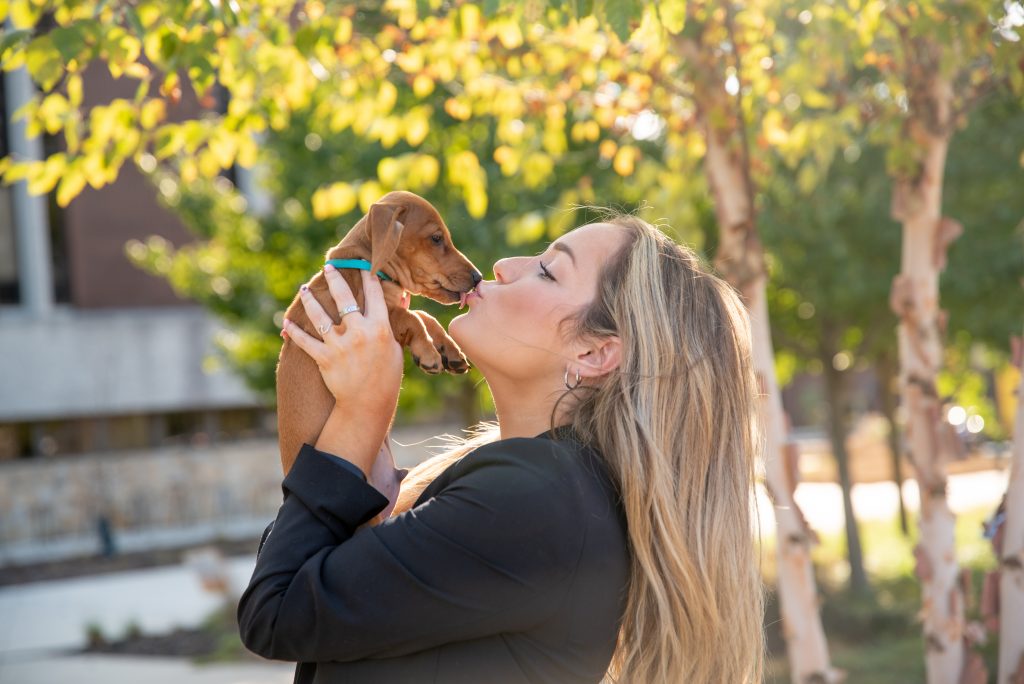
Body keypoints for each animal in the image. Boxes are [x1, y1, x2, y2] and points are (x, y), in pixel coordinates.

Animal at [272, 189, 479, 479]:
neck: (363, 264)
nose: (479, 277)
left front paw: (450, 350)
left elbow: (425, 316)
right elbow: (413, 317)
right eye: (437, 238)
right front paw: (428, 353)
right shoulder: (376, 317)